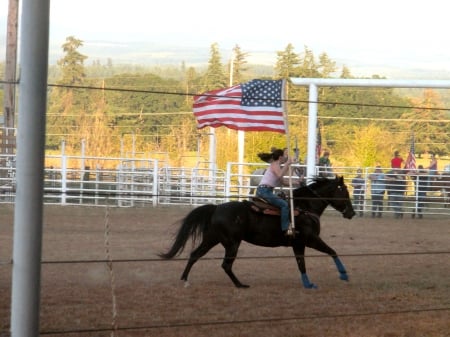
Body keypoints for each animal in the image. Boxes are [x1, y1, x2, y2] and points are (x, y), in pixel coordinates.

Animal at [158, 175, 356, 288]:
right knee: (225, 265)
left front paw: (308, 284)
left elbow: (301, 264)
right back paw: (240, 285)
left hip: (212, 239)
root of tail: (216, 208)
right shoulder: (310, 239)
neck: (303, 208)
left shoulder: (298, 243)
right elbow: (332, 251)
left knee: (195, 255)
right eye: (344, 191)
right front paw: (344, 274)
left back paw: (185, 279)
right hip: (232, 243)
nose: (352, 213)